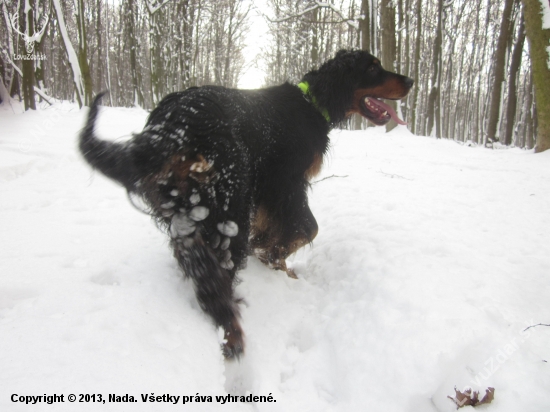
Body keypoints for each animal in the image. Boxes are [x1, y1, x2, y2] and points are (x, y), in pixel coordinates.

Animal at [77, 49, 414, 358]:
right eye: (372, 68)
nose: (411, 81)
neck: (313, 104)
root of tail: (173, 124)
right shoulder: (286, 183)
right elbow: (307, 228)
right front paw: (272, 257)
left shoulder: (265, 190)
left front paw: (271, 257)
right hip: (230, 202)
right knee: (222, 266)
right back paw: (232, 332)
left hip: (188, 208)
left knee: (198, 261)